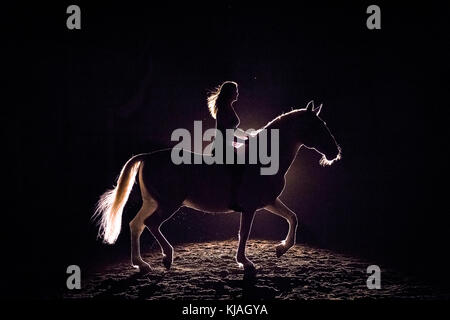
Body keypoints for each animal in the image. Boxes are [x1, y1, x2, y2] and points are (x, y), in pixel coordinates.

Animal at [94, 100, 342, 276]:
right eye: (317, 127)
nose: (335, 153)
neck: (263, 160)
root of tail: (148, 156)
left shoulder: (269, 202)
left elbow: (293, 217)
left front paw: (281, 249)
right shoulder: (250, 208)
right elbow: (245, 233)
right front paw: (246, 263)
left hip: (153, 202)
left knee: (136, 224)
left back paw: (142, 265)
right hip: (168, 204)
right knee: (150, 223)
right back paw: (167, 258)